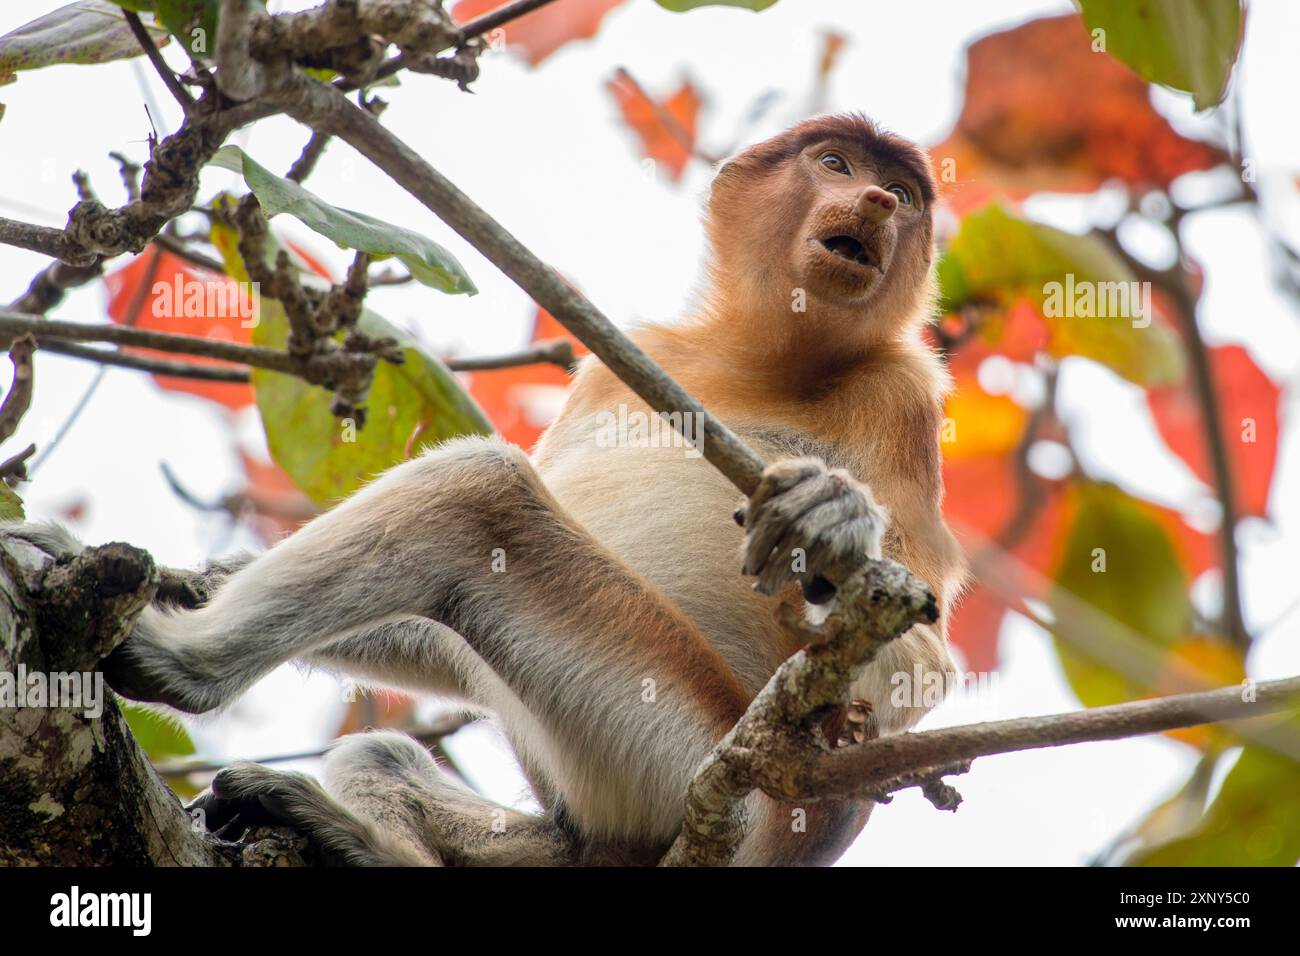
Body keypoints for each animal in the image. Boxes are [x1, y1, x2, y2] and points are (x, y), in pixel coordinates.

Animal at [10, 113, 967, 868]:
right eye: (836, 164)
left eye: (900, 190)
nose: (879, 204)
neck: (765, 359)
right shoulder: (622, 367)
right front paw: (182, 576)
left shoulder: (904, 397)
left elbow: (918, 658)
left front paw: (834, 524)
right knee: (385, 754)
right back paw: (356, 831)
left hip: (668, 746)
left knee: (479, 491)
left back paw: (178, 668)